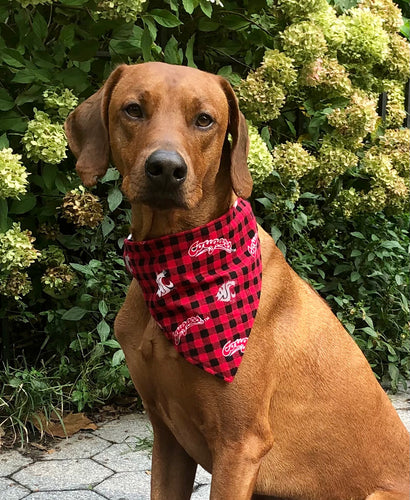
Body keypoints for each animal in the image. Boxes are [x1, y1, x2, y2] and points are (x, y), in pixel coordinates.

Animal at [65, 63, 408, 500]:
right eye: (133, 109)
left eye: (204, 119)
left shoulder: (240, 445)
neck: (172, 259)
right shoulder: (167, 437)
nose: (166, 169)